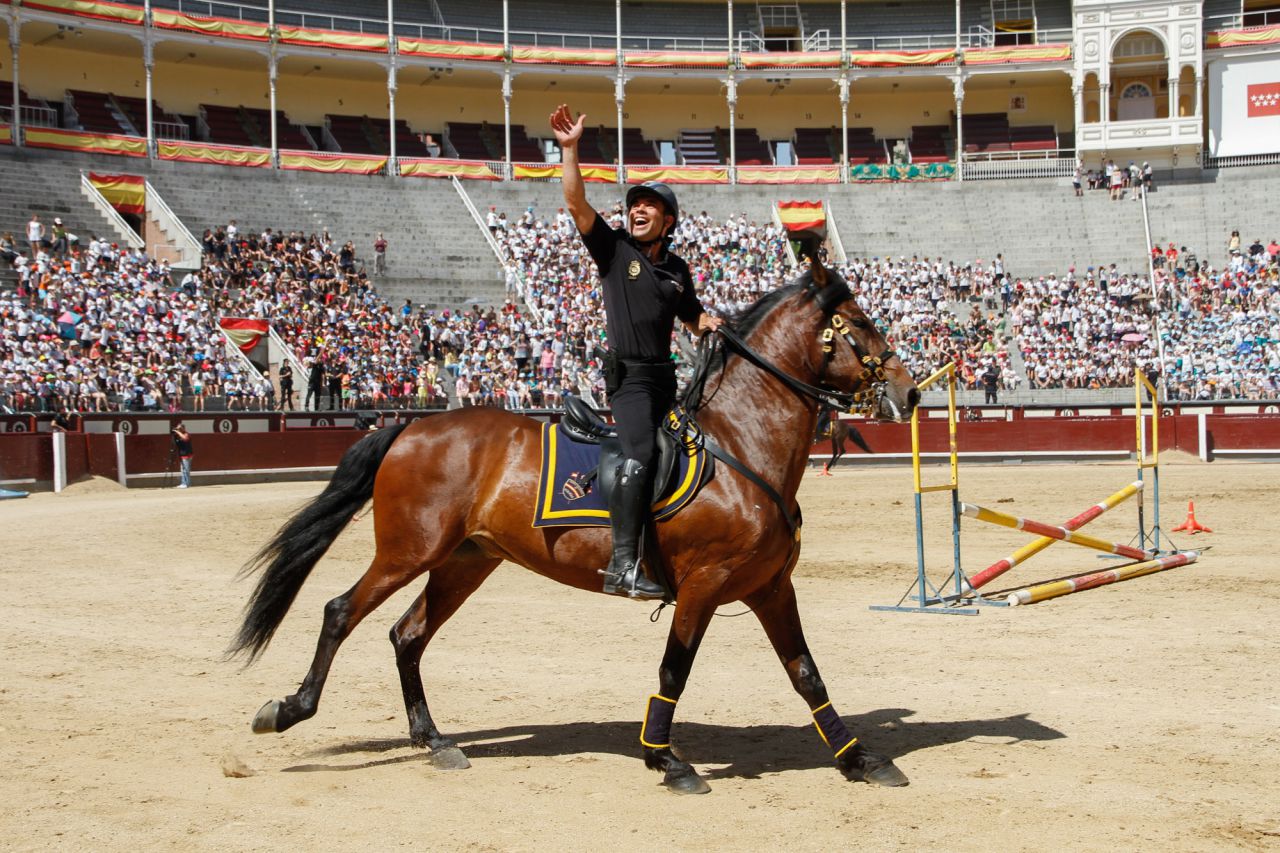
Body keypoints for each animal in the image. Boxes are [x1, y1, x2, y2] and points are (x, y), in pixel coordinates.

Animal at [231, 258, 920, 794]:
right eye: (860, 322)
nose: (910, 392)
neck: (741, 445)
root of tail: (411, 425)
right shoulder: (703, 585)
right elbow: (675, 670)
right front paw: (666, 760)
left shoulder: (771, 587)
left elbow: (806, 673)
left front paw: (860, 759)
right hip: (409, 551)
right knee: (340, 612)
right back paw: (288, 710)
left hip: (465, 561)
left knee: (408, 636)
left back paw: (435, 741)